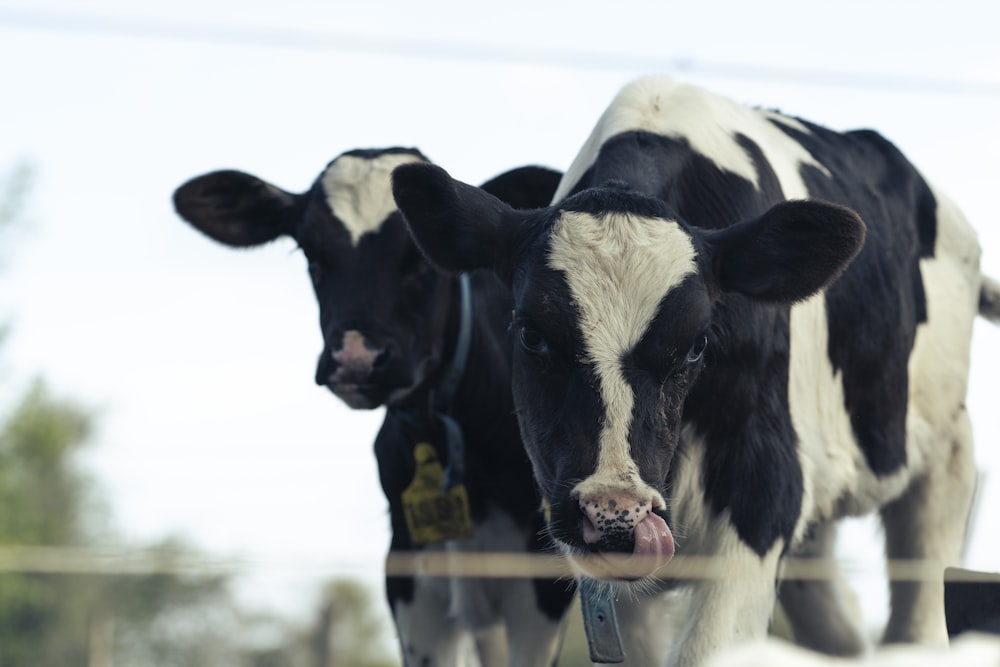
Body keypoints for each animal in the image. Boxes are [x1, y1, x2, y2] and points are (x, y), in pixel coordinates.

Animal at [390, 79, 1000, 667]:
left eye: (696, 345)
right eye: (531, 335)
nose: (614, 512)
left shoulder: (764, 486)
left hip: (945, 460)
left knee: (917, 620)